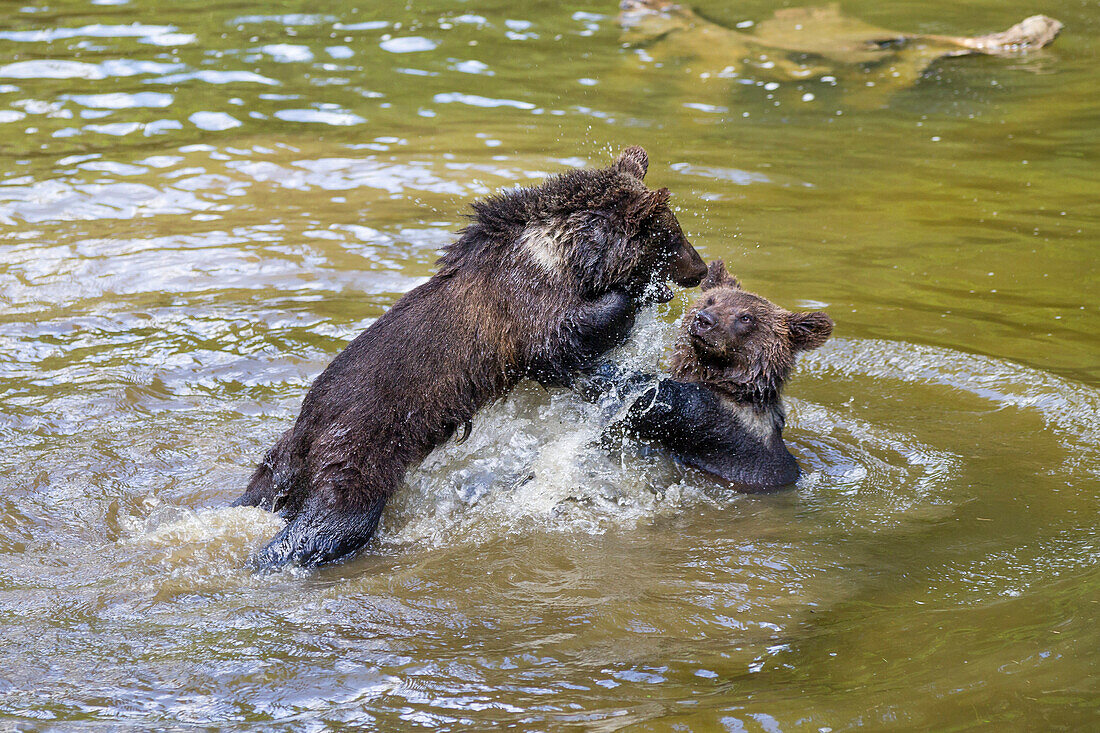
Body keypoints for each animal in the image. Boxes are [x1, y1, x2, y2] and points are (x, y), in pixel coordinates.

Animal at [236, 145, 708, 567]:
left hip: (289, 461)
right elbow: (560, 339)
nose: (700, 270)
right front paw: (633, 298)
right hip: (364, 441)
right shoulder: (524, 300)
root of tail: (309, 422)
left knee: (266, 489)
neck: (568, 256)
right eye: (673, 237)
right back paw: (268, 558)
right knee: (336, 516)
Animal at [580, 259, 827, 488]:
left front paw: (608, 374)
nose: (704, 319)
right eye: (711, 300)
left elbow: (659, 402)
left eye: (746, 317)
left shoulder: (717, 423)